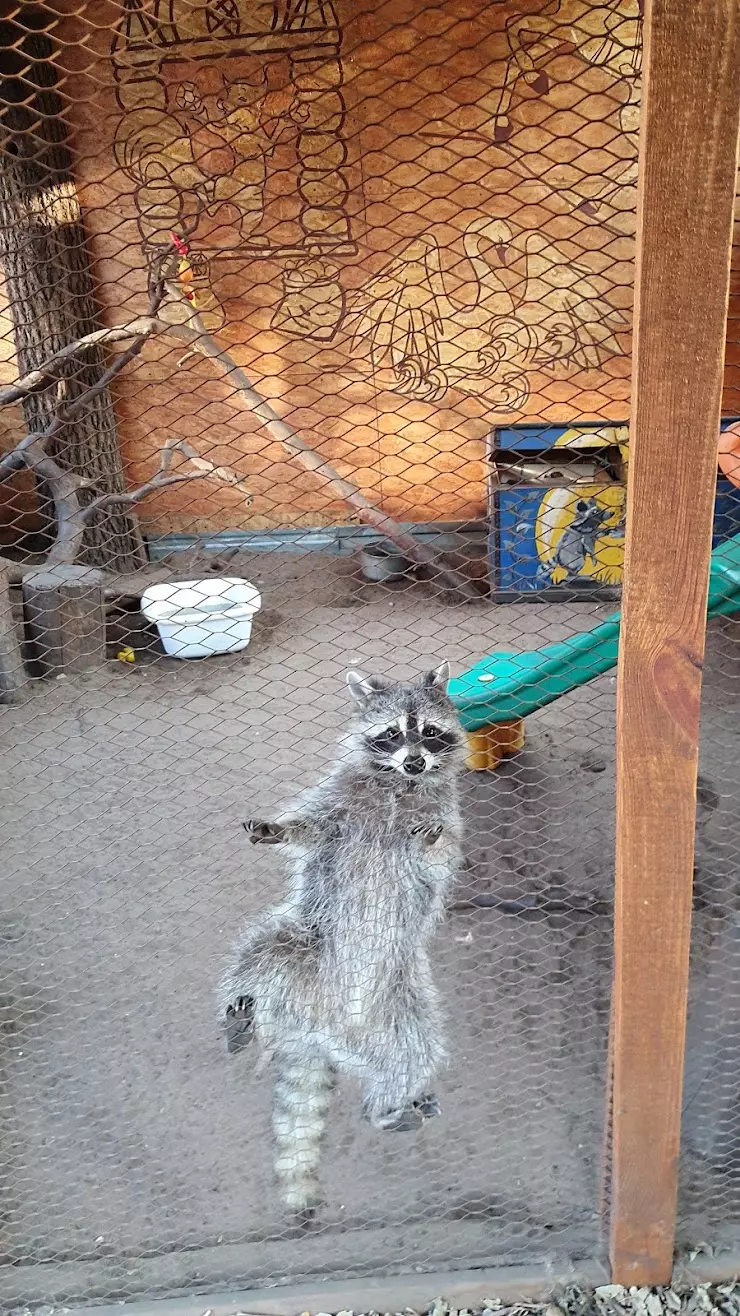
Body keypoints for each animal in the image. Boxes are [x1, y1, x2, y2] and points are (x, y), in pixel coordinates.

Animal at [215, 663, 463, 1215]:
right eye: (391, 733)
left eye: (429, 731)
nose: (415, 761)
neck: (397, 784)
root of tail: (323, 1028)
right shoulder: (337, 802)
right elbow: (309, 830)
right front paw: (280, 829)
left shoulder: (448, 813)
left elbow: (439, 856)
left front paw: (429, 839)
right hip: (302, 941)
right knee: (260, 945)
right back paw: (239, 1013)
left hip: (404, 1005)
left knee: (414, 1054)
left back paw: (388, 1108)